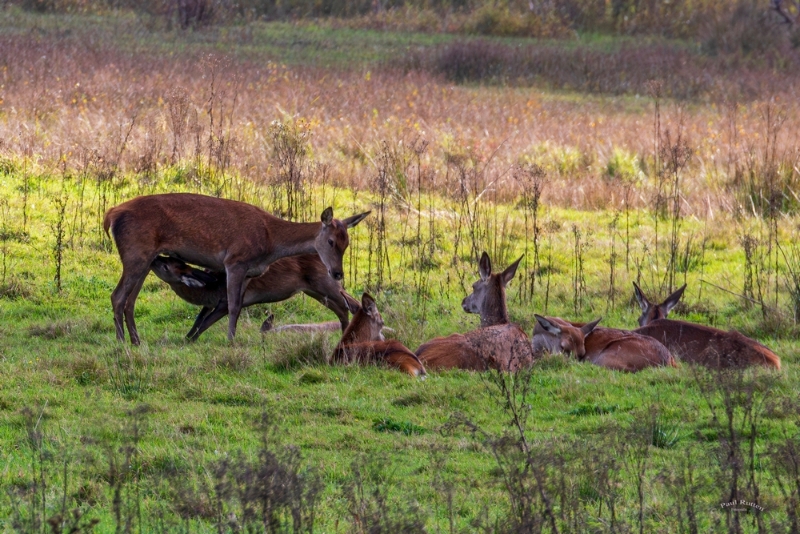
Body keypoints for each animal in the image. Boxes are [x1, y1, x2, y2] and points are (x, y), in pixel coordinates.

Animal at [150, 253, 350, 342]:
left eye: (166, 266)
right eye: (168, 259)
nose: (155, 257)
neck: (210, 289)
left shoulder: (225, 302)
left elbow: (206, 322)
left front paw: (190, 341)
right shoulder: (210, 303)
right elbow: (198, 319)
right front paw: (186, 337)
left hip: (324, 284)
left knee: (347, 305)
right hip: (315, 291)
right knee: (344, 306)